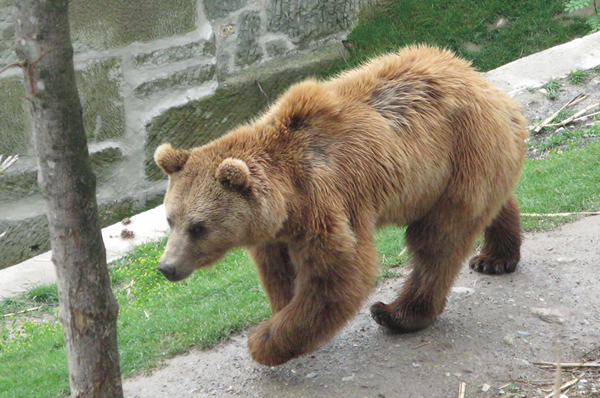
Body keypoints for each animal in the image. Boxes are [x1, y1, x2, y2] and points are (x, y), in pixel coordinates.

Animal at [156, 44, 528, 366]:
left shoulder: (325, 198)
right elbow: (278, 270)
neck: (287, 196)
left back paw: (396, 313)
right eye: (171, 220)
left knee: (437, 243)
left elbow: (336, 273)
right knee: (491, 204)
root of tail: (482, 80)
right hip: (459, 168)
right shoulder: (278, 227)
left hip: (458, 154)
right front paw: (281, 309)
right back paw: (496, 257)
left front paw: (264, 340)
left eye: (198, 226)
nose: (166, 267)